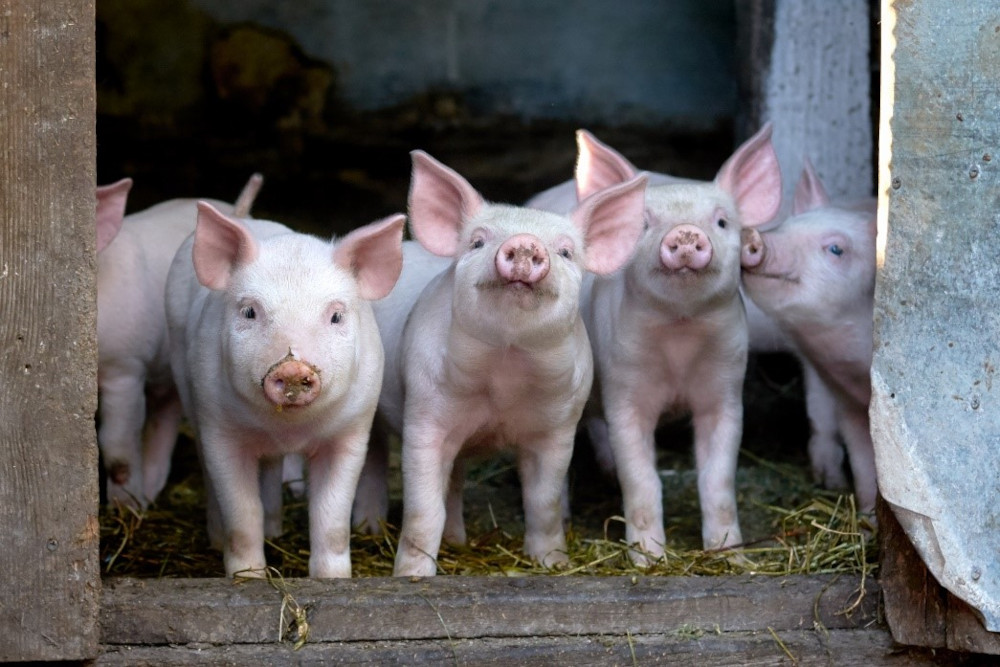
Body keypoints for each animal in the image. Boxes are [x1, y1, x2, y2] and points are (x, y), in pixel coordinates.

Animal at [164, 201, 404, 577]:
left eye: (336, 316)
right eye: (250, 311)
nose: (292, 367)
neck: (288, 430)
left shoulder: (351, 433)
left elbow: (331, 515)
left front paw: (333, 578)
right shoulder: (220, 430)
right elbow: (243, 513)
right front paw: (248, 576)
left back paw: (275, 530)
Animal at [357, 150, 647, 577]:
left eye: (566, 252)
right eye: (477, 241)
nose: (524, 243)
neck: (506, 370)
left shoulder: (558, 428)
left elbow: (543, 502)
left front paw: (553, 563)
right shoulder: (425, 416)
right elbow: (423, 510)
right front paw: (411, 576)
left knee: (456, 480)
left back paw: (457, 541)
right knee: (375, 459)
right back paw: (369, 528)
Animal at [529, 125, 783, 564]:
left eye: (722, 221)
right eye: (644, 223)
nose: (685, 234)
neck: (680, 334)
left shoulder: (726, 390)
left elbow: (718, 480)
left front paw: (731, 556)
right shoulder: (624, 390)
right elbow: (642, 480)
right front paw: (649, 558)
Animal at [741, 159, 877, 513]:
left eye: (836, 249)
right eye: (787, 225)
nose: (752, 235)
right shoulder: (848, 403)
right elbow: (864, 467)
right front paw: (868, 521)